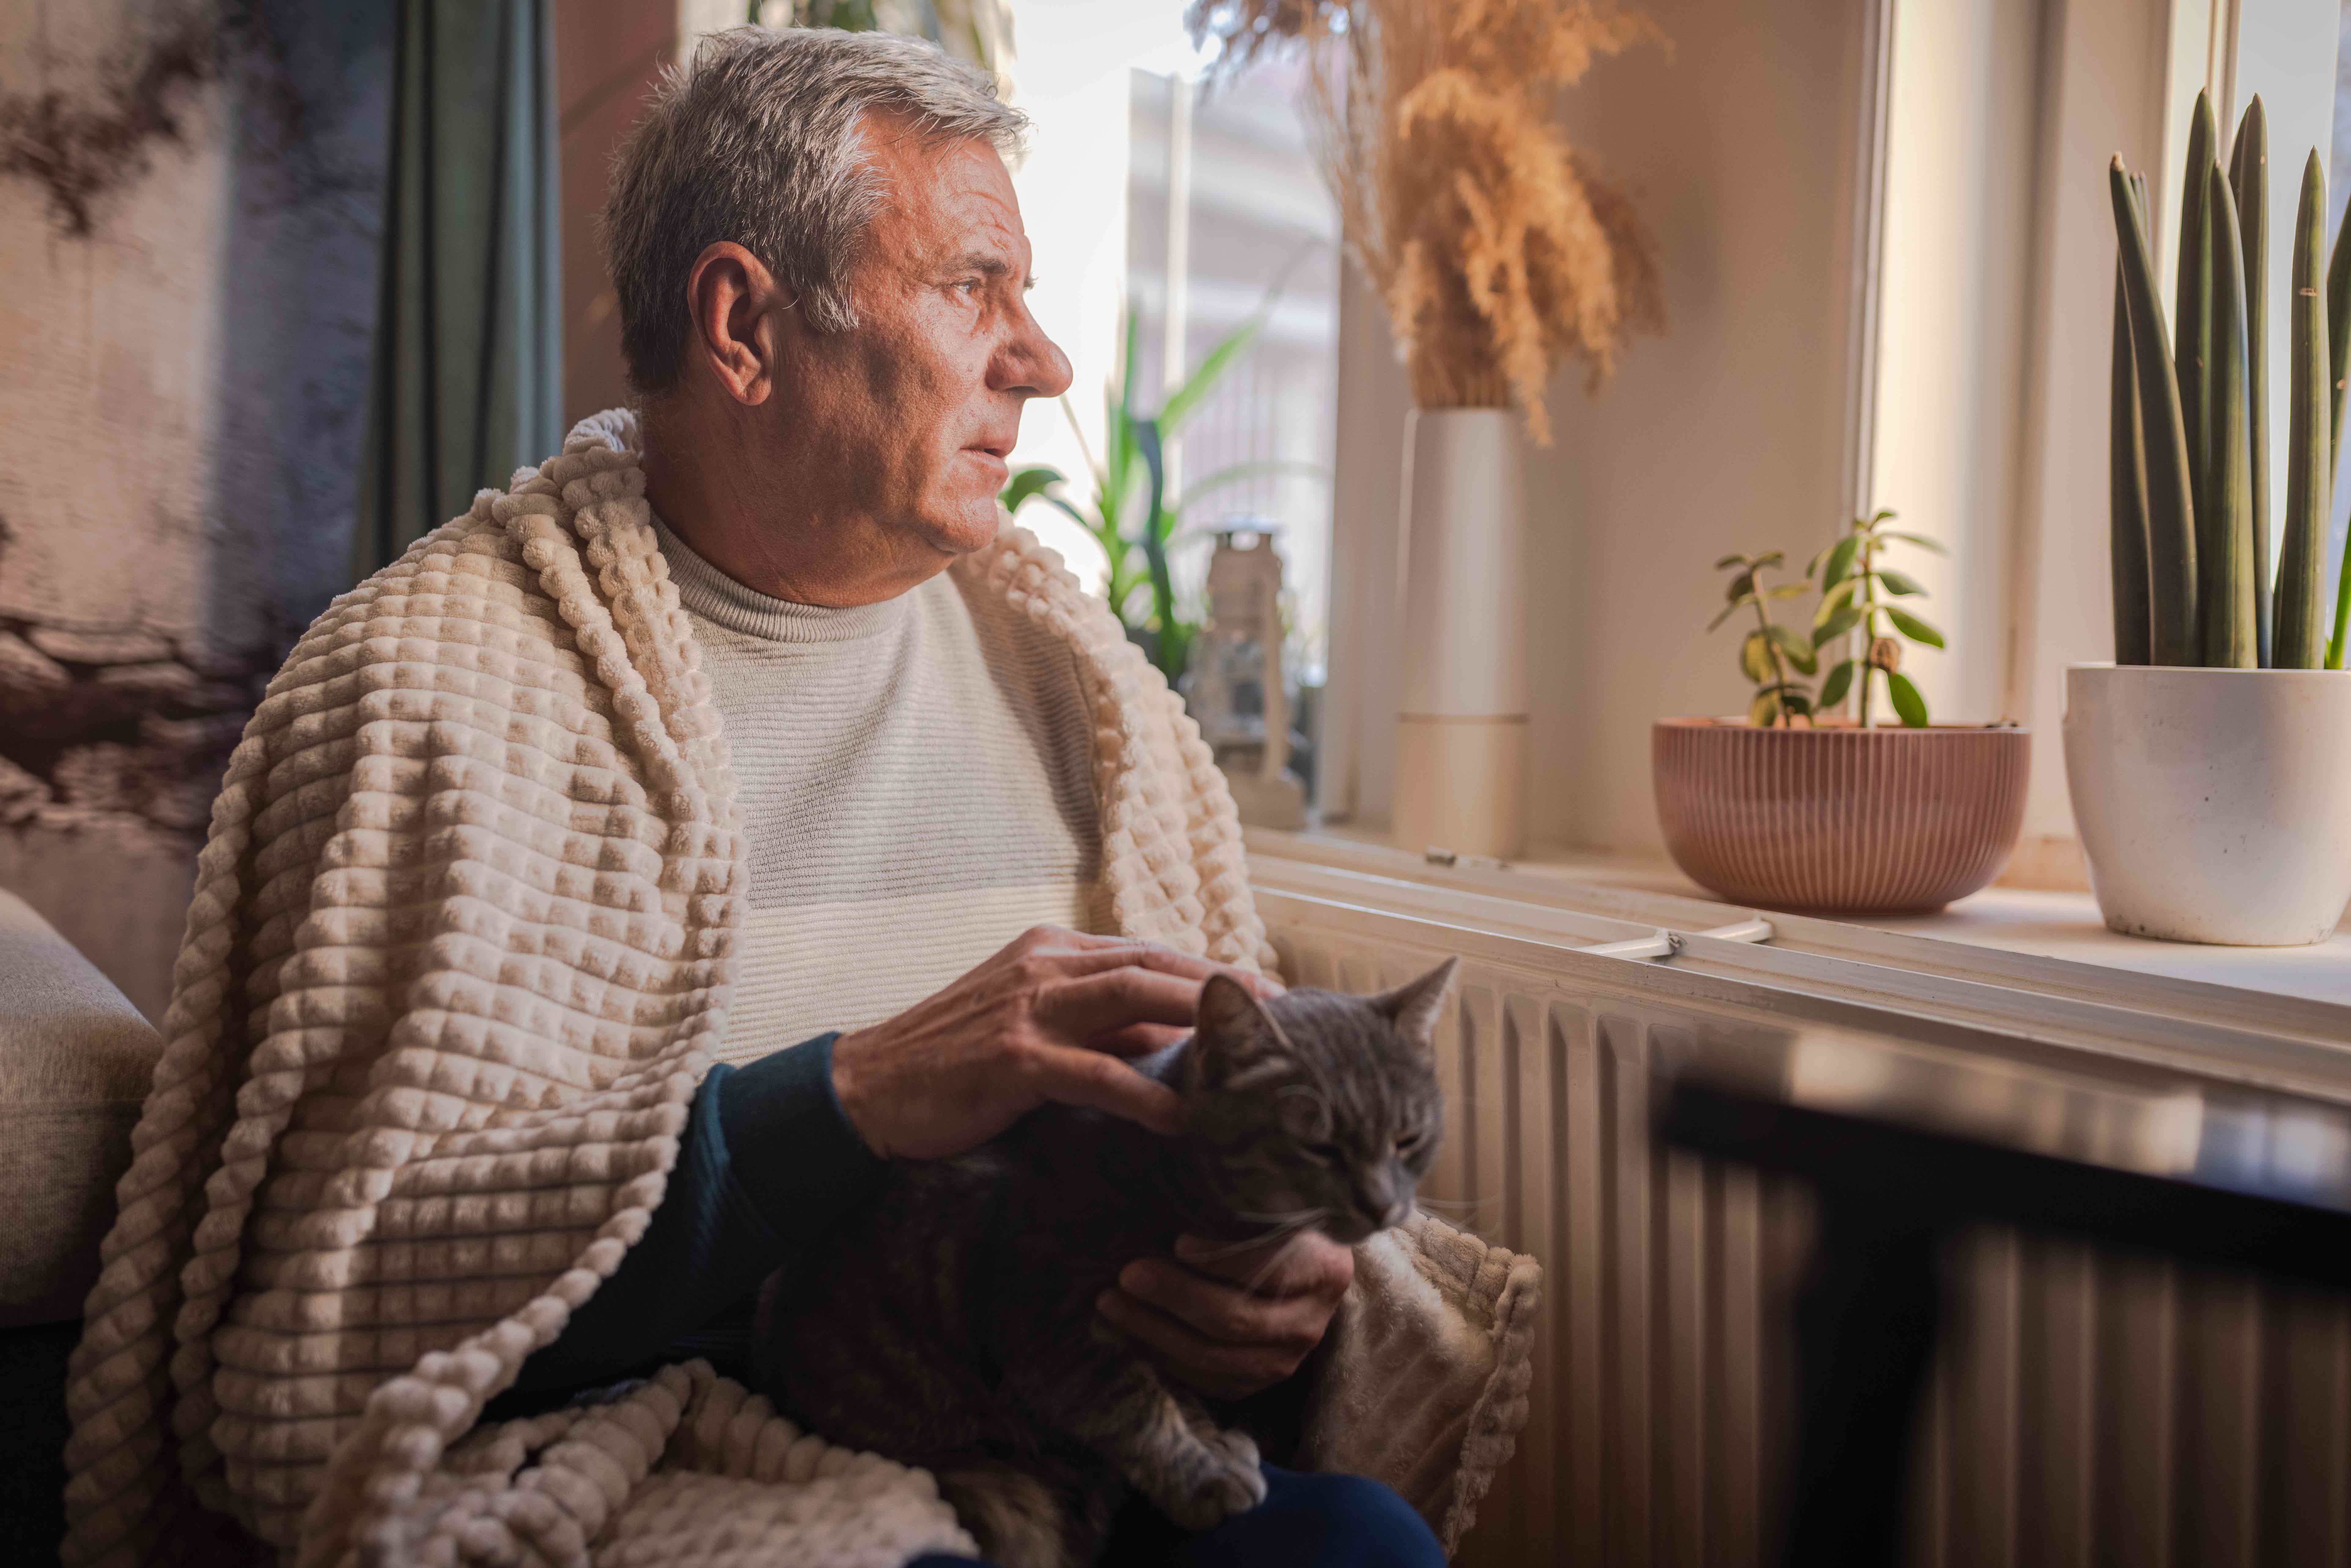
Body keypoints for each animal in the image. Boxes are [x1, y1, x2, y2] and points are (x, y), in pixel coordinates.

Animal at [752, 959, 1448, 1568]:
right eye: (1318, 1145)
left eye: (1408, 1139)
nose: (1384, 1204)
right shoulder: (1051, 1319)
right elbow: (1133, 1406)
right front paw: (1201, 1478)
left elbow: (1176, 1393)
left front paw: (1211, 1444)